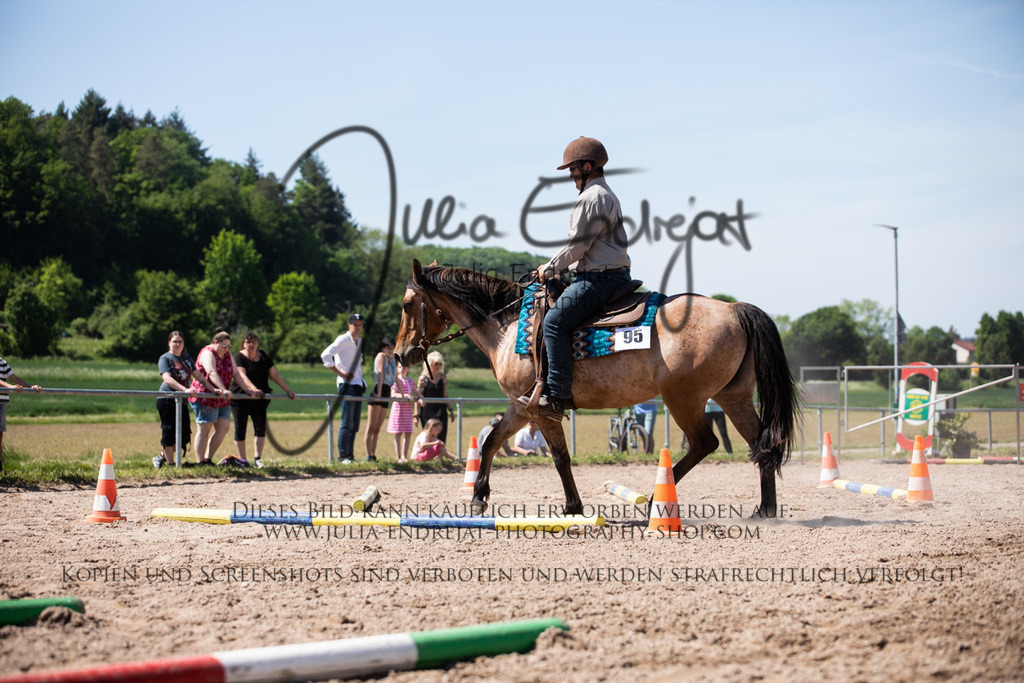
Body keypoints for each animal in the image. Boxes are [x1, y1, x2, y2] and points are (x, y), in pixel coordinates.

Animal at [394, 260, 798, 518]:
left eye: (407, 304)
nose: (399, 354)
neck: (507, 326)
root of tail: (733, 309)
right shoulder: (521, 406)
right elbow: (493, 440)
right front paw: (479, 497)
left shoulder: (541, 409)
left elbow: (560, 457)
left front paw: (572, 507)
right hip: (732, 396)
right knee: (760, 442)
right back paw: (765, 509)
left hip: (684, 398)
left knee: (705, 443)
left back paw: (654, 502)